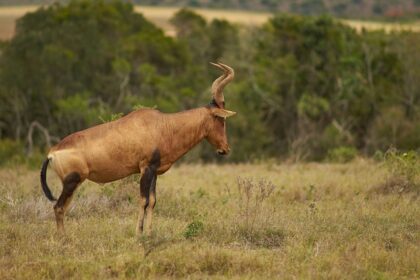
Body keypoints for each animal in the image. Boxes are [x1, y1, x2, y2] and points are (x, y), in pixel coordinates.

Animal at [39, 62, 236, 235]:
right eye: (221, 119)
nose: (225, 149)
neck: (162, 125)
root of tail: (52, 152)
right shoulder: (145, 169)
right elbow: (143, 200)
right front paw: (138, 234)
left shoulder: (154, 171)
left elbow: (153, 201)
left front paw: (149, 233)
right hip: (72, 182)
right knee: (58, 207)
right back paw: (63, 239)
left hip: (72, 184)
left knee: (62, 207)